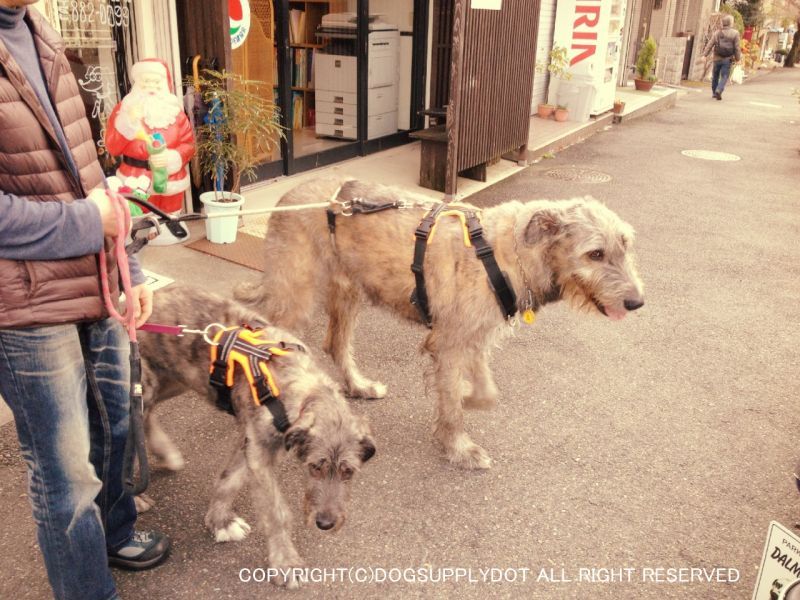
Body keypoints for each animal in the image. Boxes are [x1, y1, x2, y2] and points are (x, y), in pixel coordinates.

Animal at [137, 286, 376, 584]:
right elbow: (276, 512)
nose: (325, 524)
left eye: (348, 471)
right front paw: (286, 563)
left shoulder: (252, 444)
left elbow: (229, 480)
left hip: (174, 379)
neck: (300, 390)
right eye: (314, 467)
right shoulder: (260, 450)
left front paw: (219, 521)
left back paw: (164, 452)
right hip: (143, 383)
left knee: (148, 414)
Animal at [233, 180, 644, 472]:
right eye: (595, 253)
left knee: (335, 341)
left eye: (626, 245)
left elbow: (483, 392)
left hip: (348, 288)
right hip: (297, 293)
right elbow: (453, 397)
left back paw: (358, 385)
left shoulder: (474, 336)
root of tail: (286, 197)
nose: (637, 302)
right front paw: (459, 446)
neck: (507, 252)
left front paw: (466, 400)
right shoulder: (449, 342)